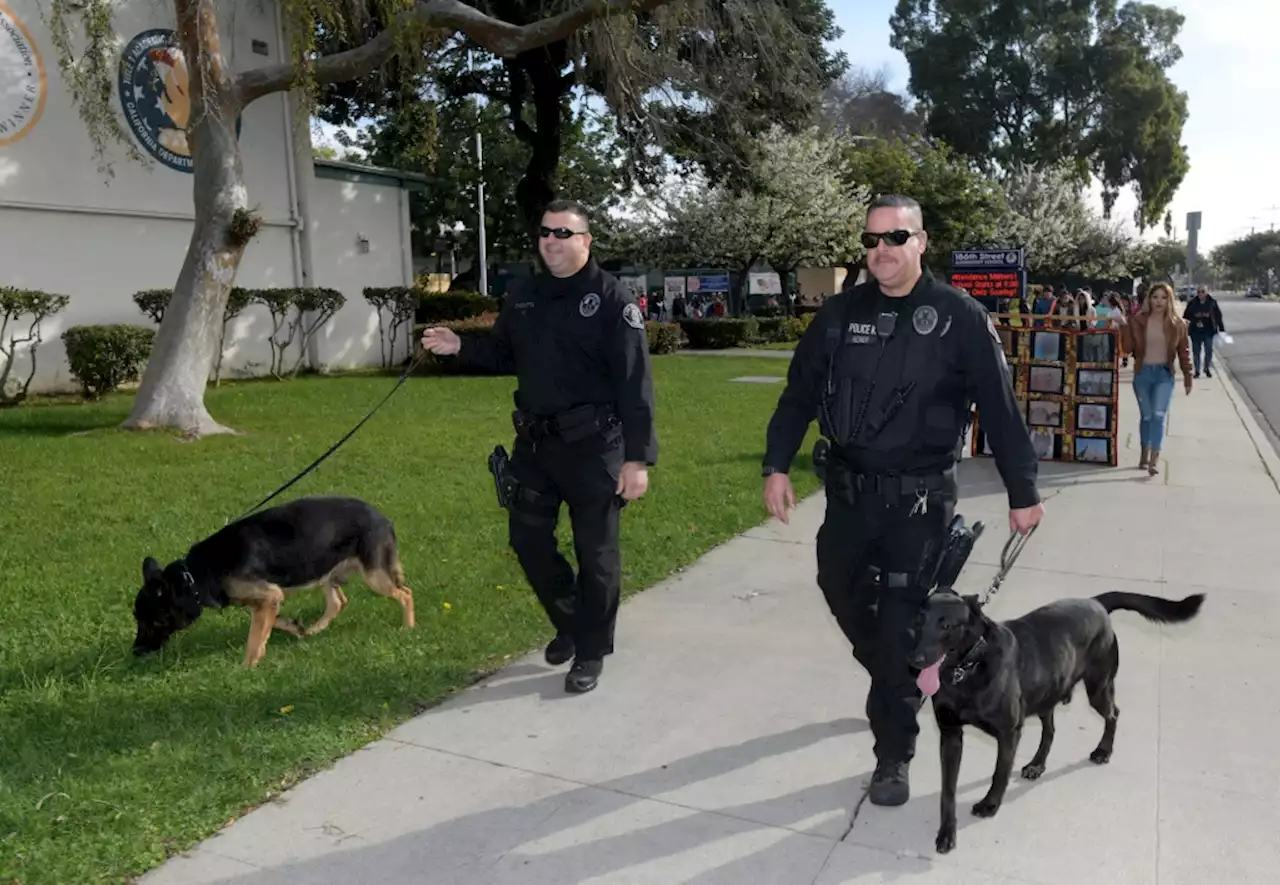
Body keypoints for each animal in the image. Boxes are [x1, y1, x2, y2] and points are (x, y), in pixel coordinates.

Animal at [130, 499, 412, 665]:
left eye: (154, 621)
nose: (136, 651)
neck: (192, 577)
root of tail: (383, 518)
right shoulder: (266, 600)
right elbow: (270, 623)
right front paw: (294, 628)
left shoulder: (269, 596)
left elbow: (254, 637)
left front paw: (247, 668)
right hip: (323, 571)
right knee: (338, 602)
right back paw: (313, 631)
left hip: (374, 577)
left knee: (406, 593)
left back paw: (408, 627)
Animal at [911, 591, 1198, 855]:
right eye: (919, 620)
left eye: (946, 626)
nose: (914, 661)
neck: (968, 667)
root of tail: (1096, 602)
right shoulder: (950, 735)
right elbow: (948, 791)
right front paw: (946, 832)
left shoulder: (1008, 733)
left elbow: (999, 773)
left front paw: (990, 804)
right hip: (1046, 693)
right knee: (1050, 730)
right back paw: (1038, 764)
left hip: (1097, 688)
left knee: (1113, 714)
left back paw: (1103, 750)